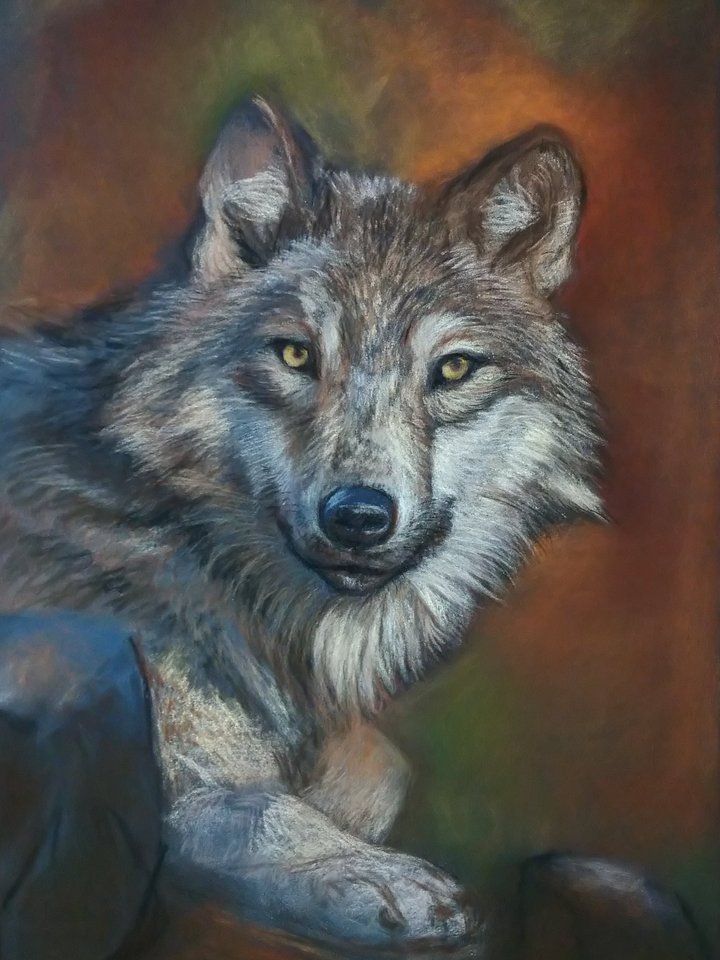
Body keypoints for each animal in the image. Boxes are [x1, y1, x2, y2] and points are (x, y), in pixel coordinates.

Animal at [0, 97, 604, 948]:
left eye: (453, 369)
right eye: (294, 356)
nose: (358, 517)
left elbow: (375, 771)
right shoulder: (184, 765)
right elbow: (268, 811)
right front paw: (380, 878)